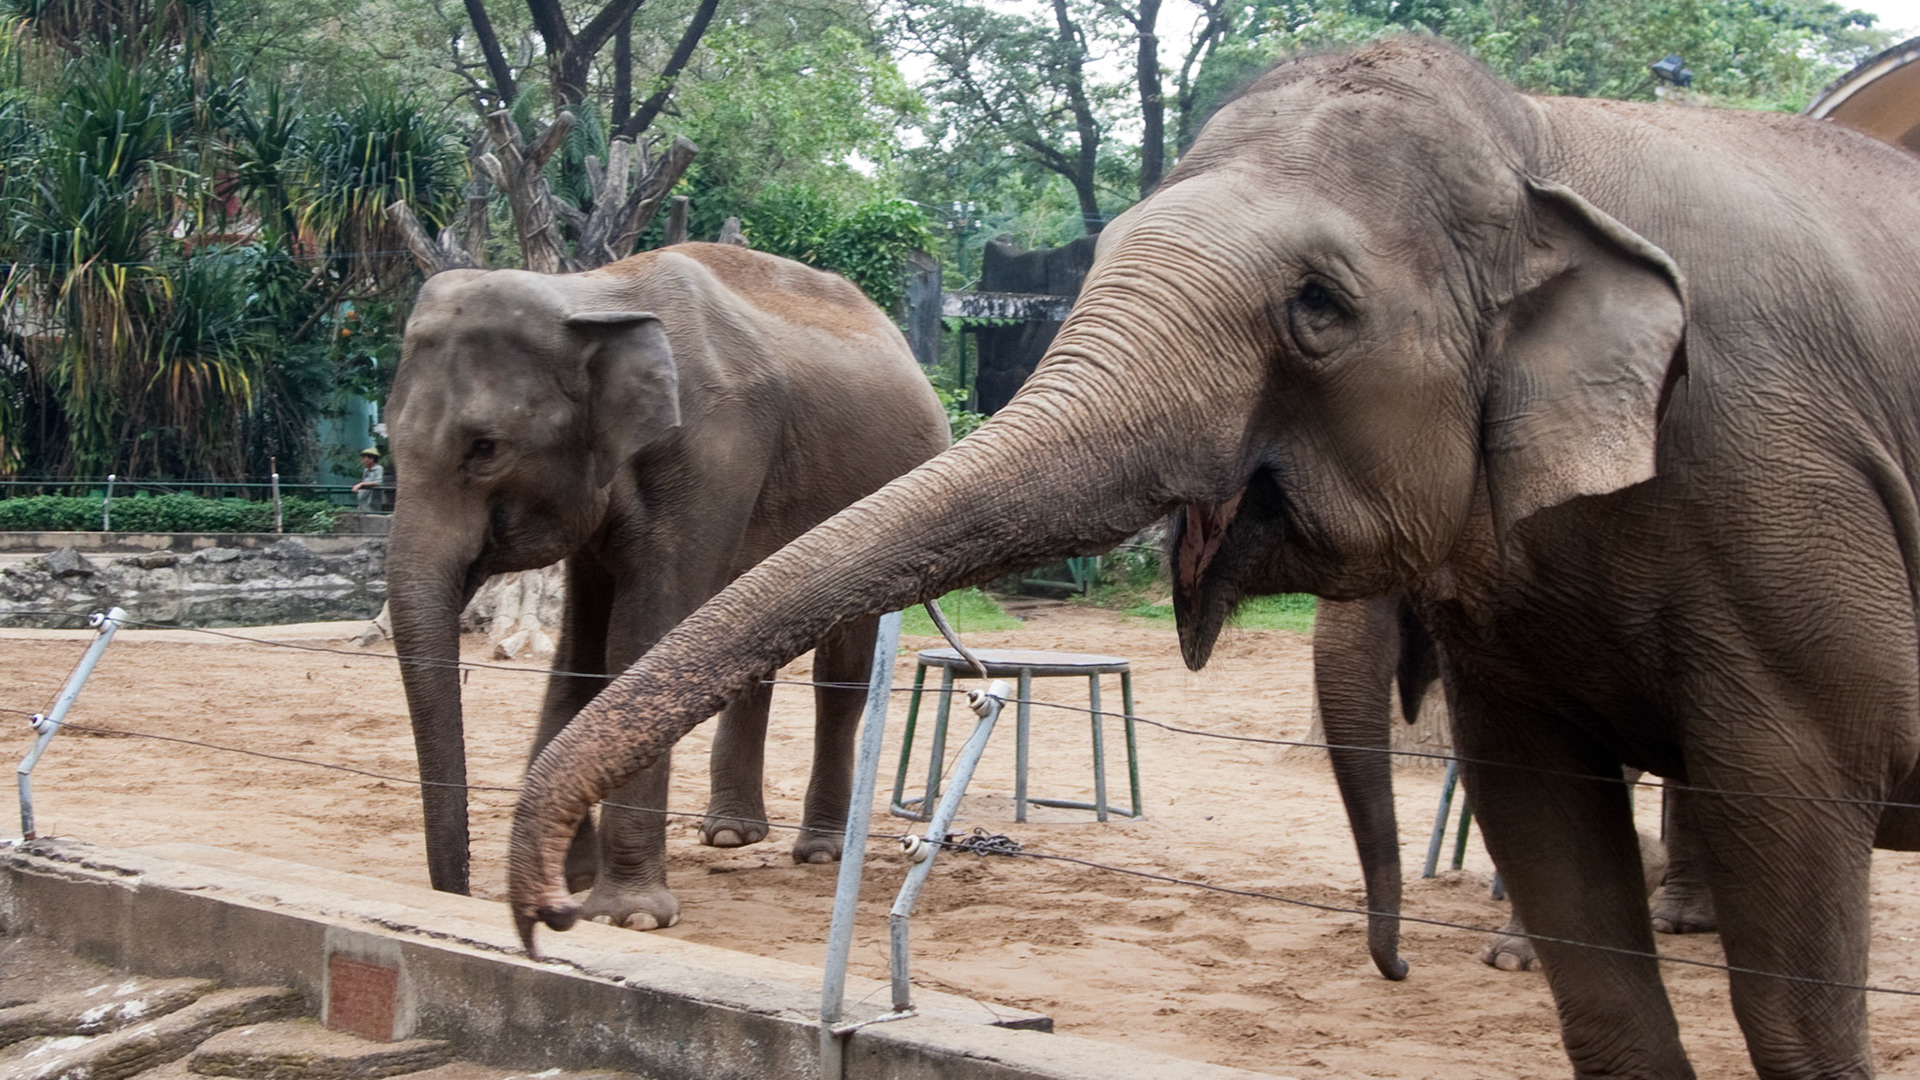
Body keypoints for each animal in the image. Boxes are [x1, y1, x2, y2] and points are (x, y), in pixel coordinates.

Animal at [384, 242, 949, 927]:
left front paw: (627, 914)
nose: (456, 892)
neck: (590, 295)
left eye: (485, 447)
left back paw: (818, 850)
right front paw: (570, 875)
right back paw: (730, 835)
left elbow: (641, 641)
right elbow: (581, 651)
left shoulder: (713, 454)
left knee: (841, 670)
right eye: (389, 441)